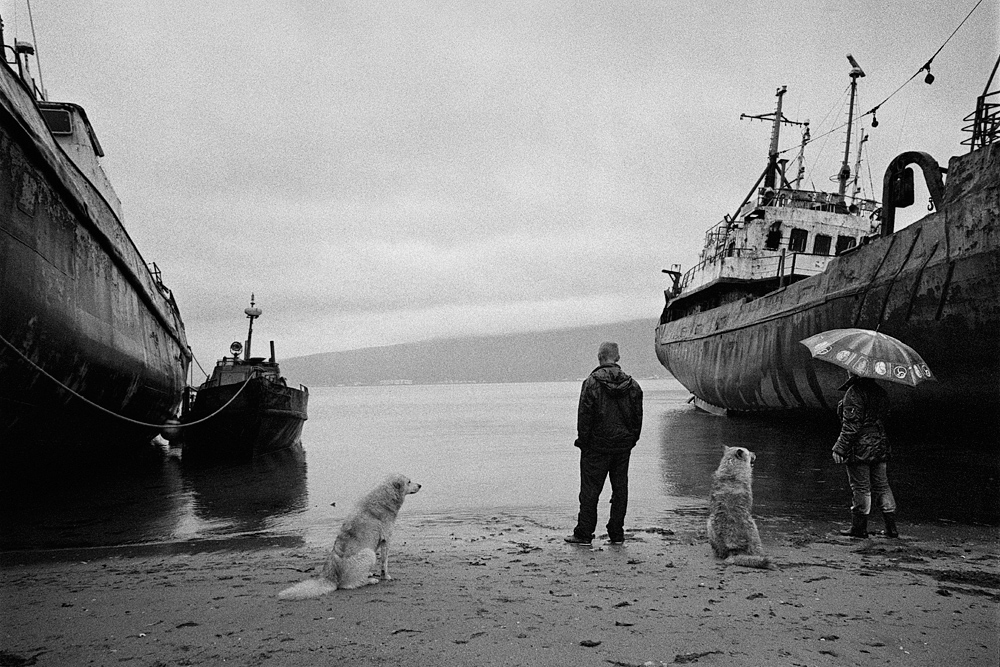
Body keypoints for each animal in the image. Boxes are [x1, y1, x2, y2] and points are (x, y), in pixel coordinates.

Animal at [280, 474, 424, 600]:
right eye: (409, 481)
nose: (420, 485)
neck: (385, 498)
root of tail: (331, 578)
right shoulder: (386, 540)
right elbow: (385, 562)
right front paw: (386, 576)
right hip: (369, 553)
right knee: (349, 585)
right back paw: (370, 580)